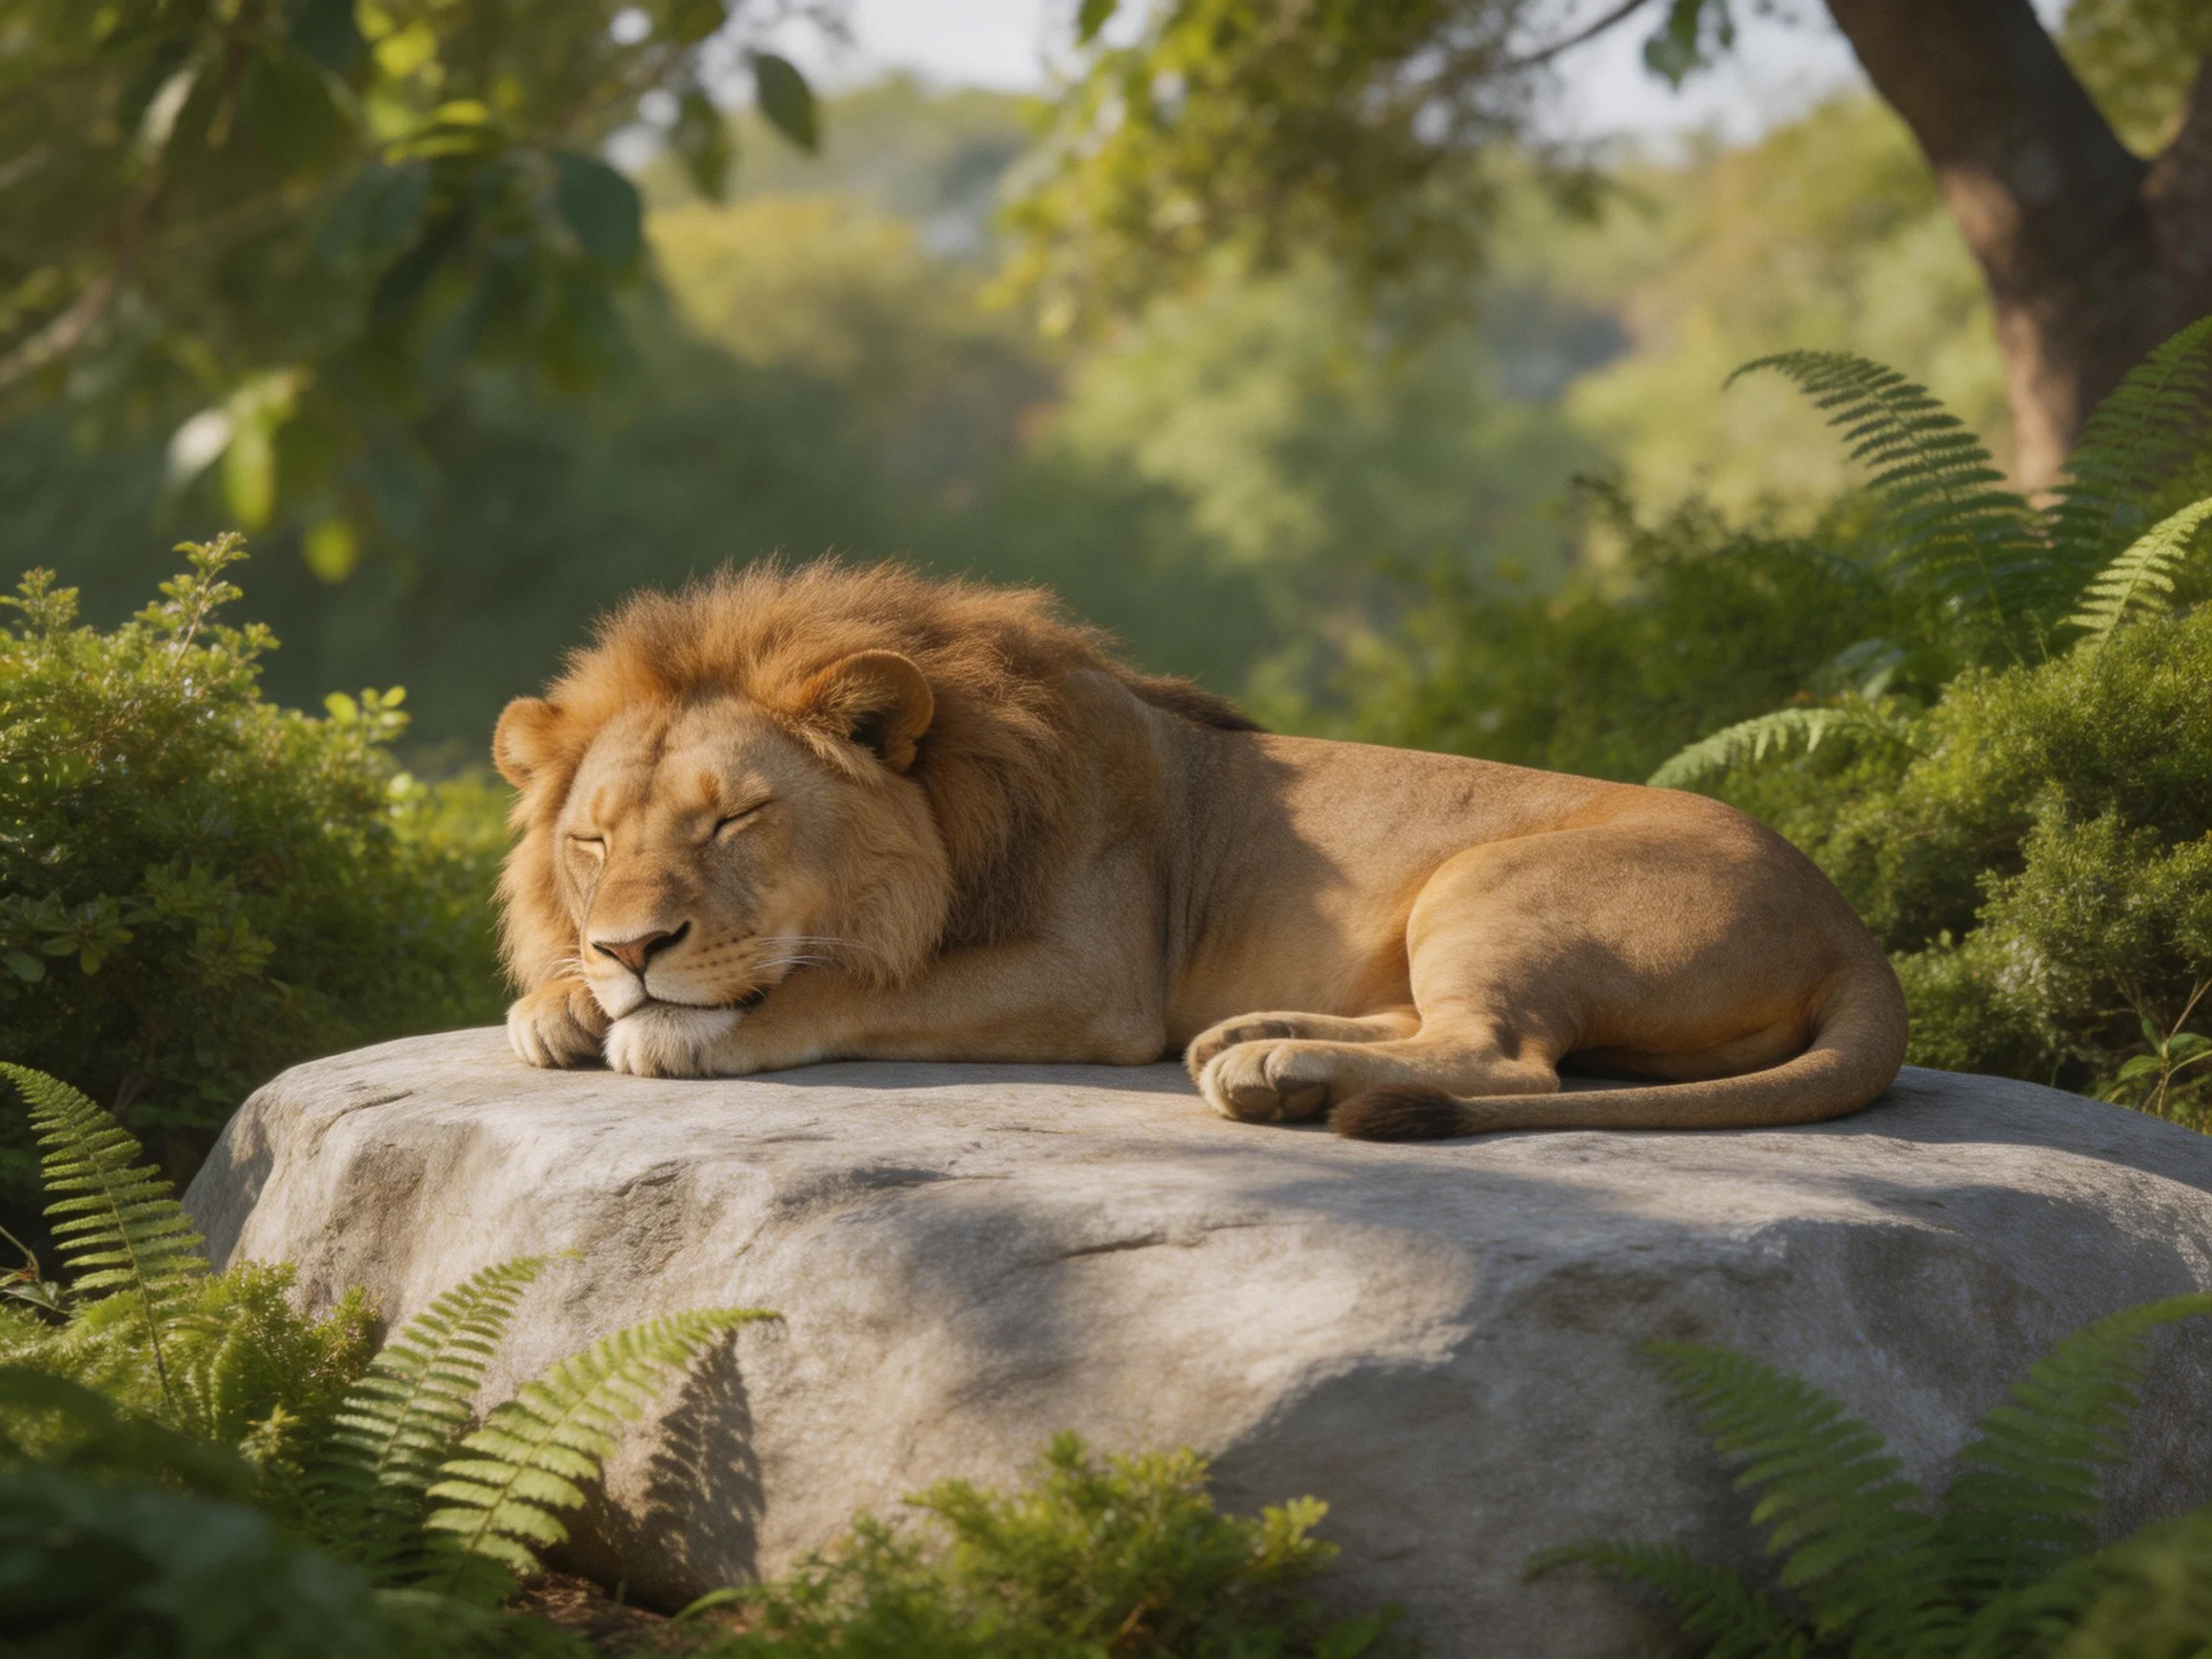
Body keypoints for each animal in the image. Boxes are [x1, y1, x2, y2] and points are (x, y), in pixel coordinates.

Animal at [492, 560, 1907, 1139]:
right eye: (592, 840)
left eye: (735, 819)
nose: (628, 946)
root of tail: (1854, 932)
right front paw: (563, 999)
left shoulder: (1091, 979)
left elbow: (842, 984)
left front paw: (668, 1025)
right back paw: (1261, 1044)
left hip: (1484, 881)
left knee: (1508, 1059)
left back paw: (1275, 1070)